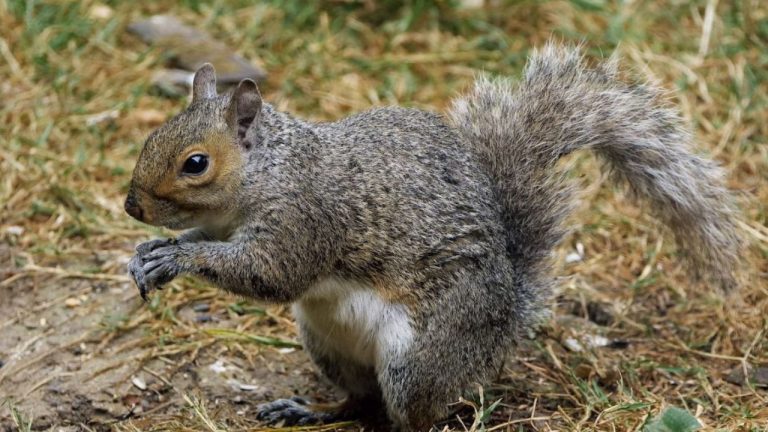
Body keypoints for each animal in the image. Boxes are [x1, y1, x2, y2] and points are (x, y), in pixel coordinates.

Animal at [125, 44, 742, 431]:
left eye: (196, 163)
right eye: (152, 136)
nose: (132, 206)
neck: (270, 171)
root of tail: (504, 319)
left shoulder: (307, 219)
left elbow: (272, 274)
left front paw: (179, 257)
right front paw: (148, 254)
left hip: (420, 355)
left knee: (413, 413)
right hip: (327, 342)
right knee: (363, 402)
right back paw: (311, 411)